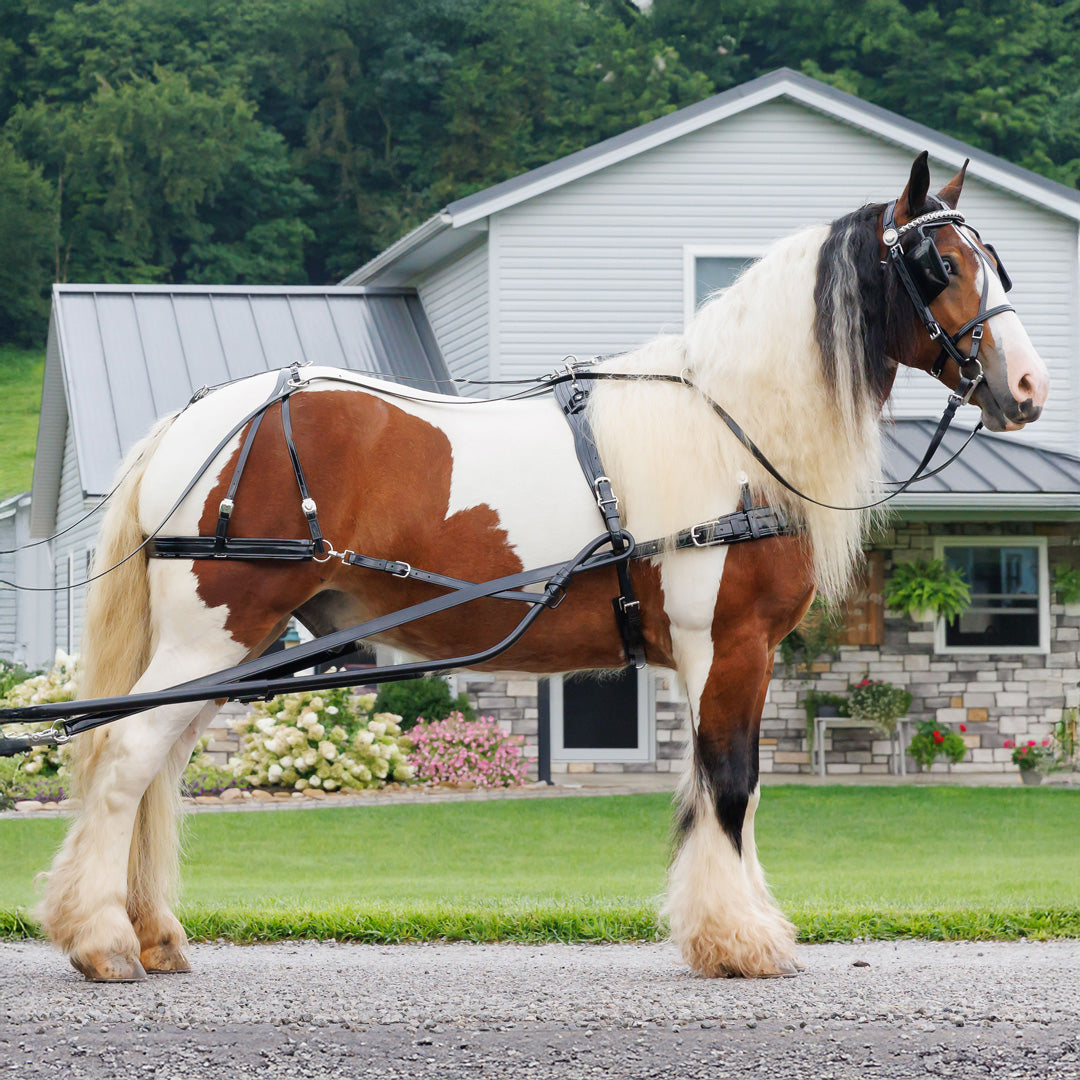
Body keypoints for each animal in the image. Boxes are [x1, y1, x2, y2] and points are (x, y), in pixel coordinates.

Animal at [39, 147, 1045, 984]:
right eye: (939, 265)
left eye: (996, 263)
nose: (1028, 388)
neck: (731, 431)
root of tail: (198, 419)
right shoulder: (730, 646)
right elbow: (730, 785)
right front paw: (742, 942)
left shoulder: (716, 660)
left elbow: (722, 790)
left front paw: (729, 930)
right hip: (213, 637)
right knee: (125, 757)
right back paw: (101, 941)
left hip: (226, 653)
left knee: (154, 769)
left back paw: (153, 934)